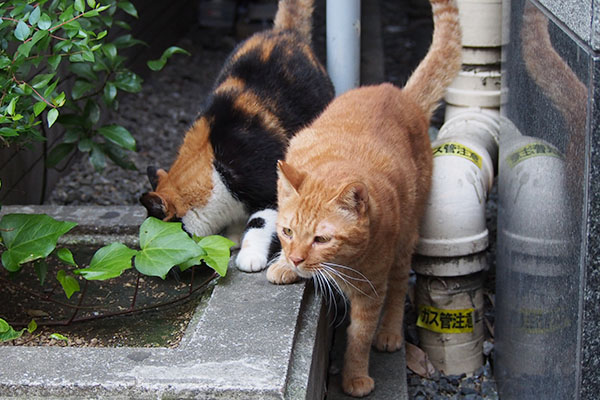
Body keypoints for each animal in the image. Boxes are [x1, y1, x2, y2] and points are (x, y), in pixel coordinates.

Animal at [142, 0, 338, 272]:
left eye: (158, 238)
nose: (169, 273)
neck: (216, 167)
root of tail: (283, 31)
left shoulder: (269, 185)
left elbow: (260, 222)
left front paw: (249, 255)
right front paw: (233, 235)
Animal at [264, 0, 462, 396]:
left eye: (321, 239)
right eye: (287, 232)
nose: (296, 259)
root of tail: (400, 93)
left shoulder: (371, 290)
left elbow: (359, 336)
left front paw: (354, 377)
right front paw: (282, 265)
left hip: (406, 241)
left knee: (399, 288)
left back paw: (390, 334)